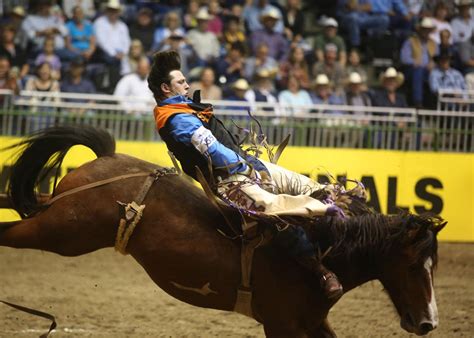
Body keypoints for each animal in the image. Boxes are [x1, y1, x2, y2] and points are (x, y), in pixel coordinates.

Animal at [0, 125, 444, 336]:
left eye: (432, 267)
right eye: (413, 265)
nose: (428, 324)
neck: (320, 254)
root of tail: (106, 158)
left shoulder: (313, 323)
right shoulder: (282, 326)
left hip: (56, 218)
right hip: (62, 233)